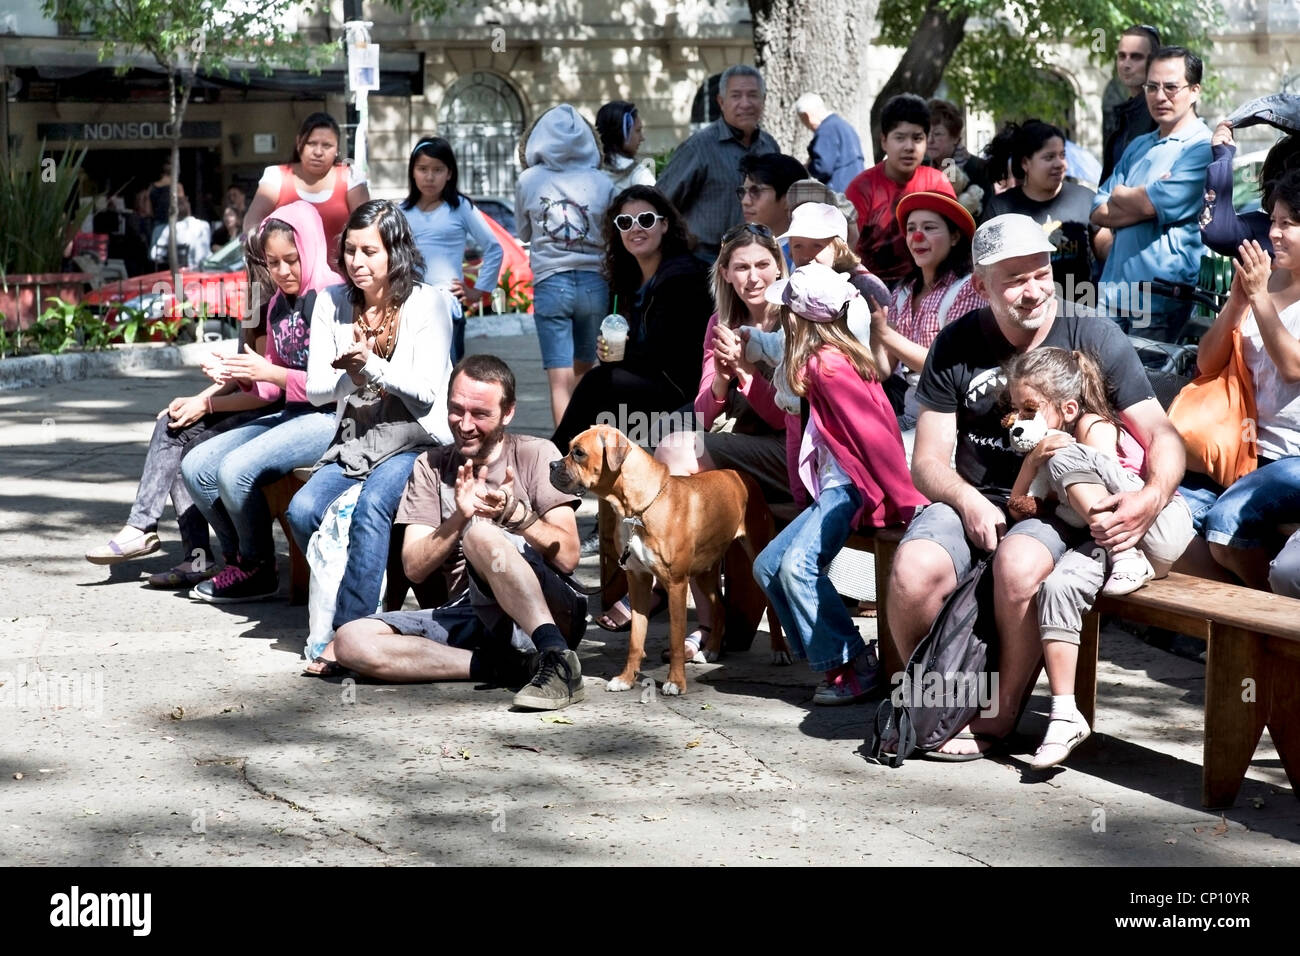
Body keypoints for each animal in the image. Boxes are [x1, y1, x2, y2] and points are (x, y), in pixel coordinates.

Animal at [551, 426, 754, 697]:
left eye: (579, 453)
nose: (552, 464)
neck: (637, 510)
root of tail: (737, 473)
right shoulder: (638, 581)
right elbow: (635, 639)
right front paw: (627, 679)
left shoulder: (676, 584)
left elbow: (676, 639)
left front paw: (676, 682)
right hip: (705, 571)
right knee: (718, 605)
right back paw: (711, 649)